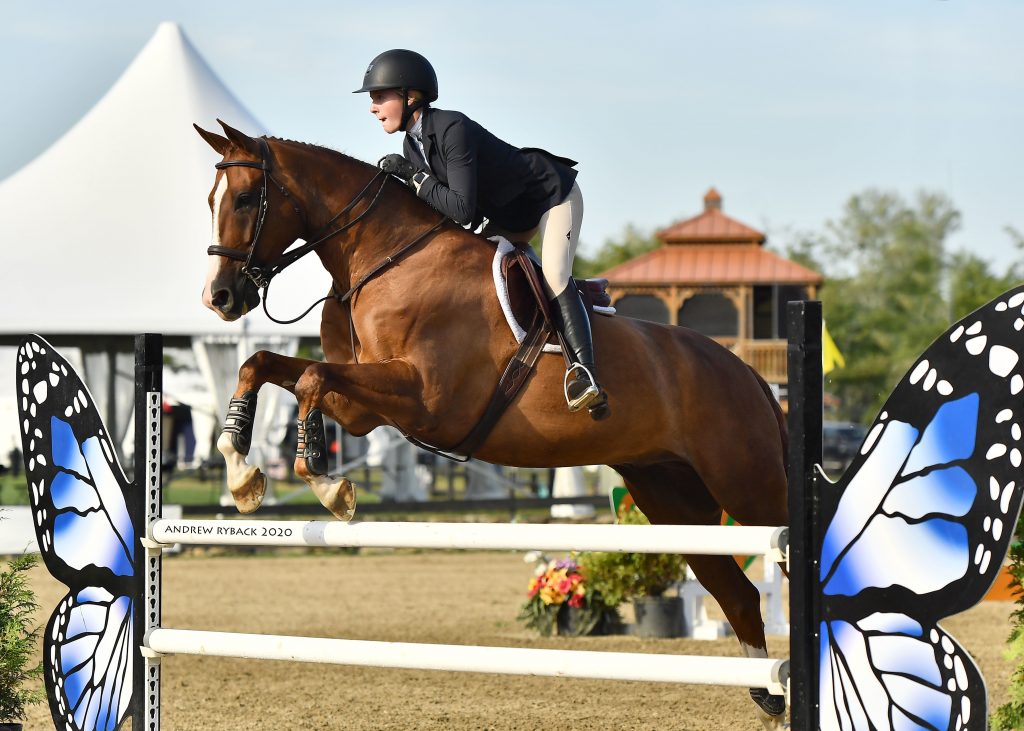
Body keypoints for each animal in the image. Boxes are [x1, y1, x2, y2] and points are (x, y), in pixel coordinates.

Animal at [195, 120, 790, 728]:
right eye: (212, 201)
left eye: (246, 199)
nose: (220, 298)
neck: (388, 261)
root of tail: (747, 372)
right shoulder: (362, 411)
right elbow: (265, 366)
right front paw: (241, 470)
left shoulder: (426, 399)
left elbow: (311, 376)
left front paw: (322, 478)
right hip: (673, 500)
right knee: (738, 594)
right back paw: (768, 696)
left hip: (747, 486)